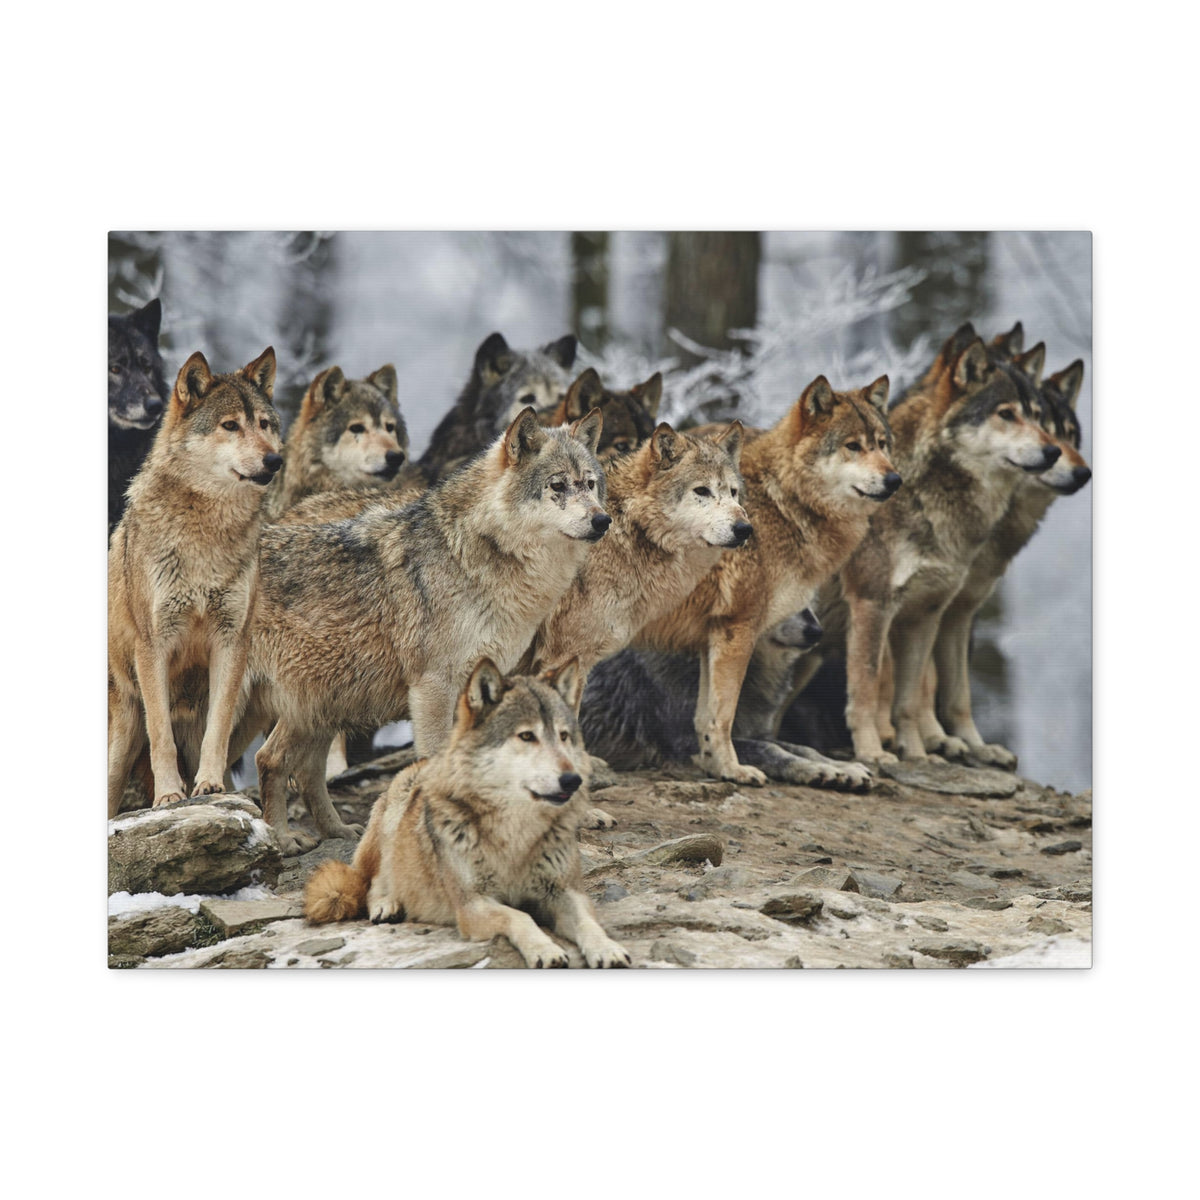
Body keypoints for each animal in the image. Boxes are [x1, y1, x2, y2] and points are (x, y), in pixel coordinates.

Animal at [107, 348, 283, 815]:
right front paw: (170, 795)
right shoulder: (154, 645)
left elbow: (216, 730)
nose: (274, 460)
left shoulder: (232, 640)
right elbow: (161, 737)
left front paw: (209, 785)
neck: (207, 534)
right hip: (120, 739)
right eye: (230, 426)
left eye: (265, 424)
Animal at [240, 407, 609, 853]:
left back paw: (336, 832)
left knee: (291, 764)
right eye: (557, 485)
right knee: (268, 760)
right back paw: (280, 838)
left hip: (323, 702)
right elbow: (436, 759)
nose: (603, 520)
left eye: (590, 484)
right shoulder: (433, 687)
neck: (476, 555)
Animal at [303, 658, 631, 968]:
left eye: (563, 736)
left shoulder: (564, 892)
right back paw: (387, 905)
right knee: (371, 882)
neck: (516, 834)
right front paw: (546, 950)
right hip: (392, 818)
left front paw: (608, 949)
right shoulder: (472, 905)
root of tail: (419, 763)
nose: (572, 780)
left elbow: (588, 923)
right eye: (527, 736)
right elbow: (520, 917)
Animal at [628, 374, 901, 785]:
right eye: (853, 446)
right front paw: (732, 769)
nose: (895, 479)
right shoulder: (738, 628)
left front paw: (715, 767)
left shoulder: (714, 634)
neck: (784, 503)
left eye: (882, 444)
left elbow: (708, 718)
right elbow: (724, 716)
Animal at [832, 326, 1062, 764]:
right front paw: (872, 752)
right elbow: (869, 689)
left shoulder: (936, 611)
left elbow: (924, 695)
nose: (1054, 451)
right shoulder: (873, 605)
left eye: (1039, 417)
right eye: (1006, 414)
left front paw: (923, 754)